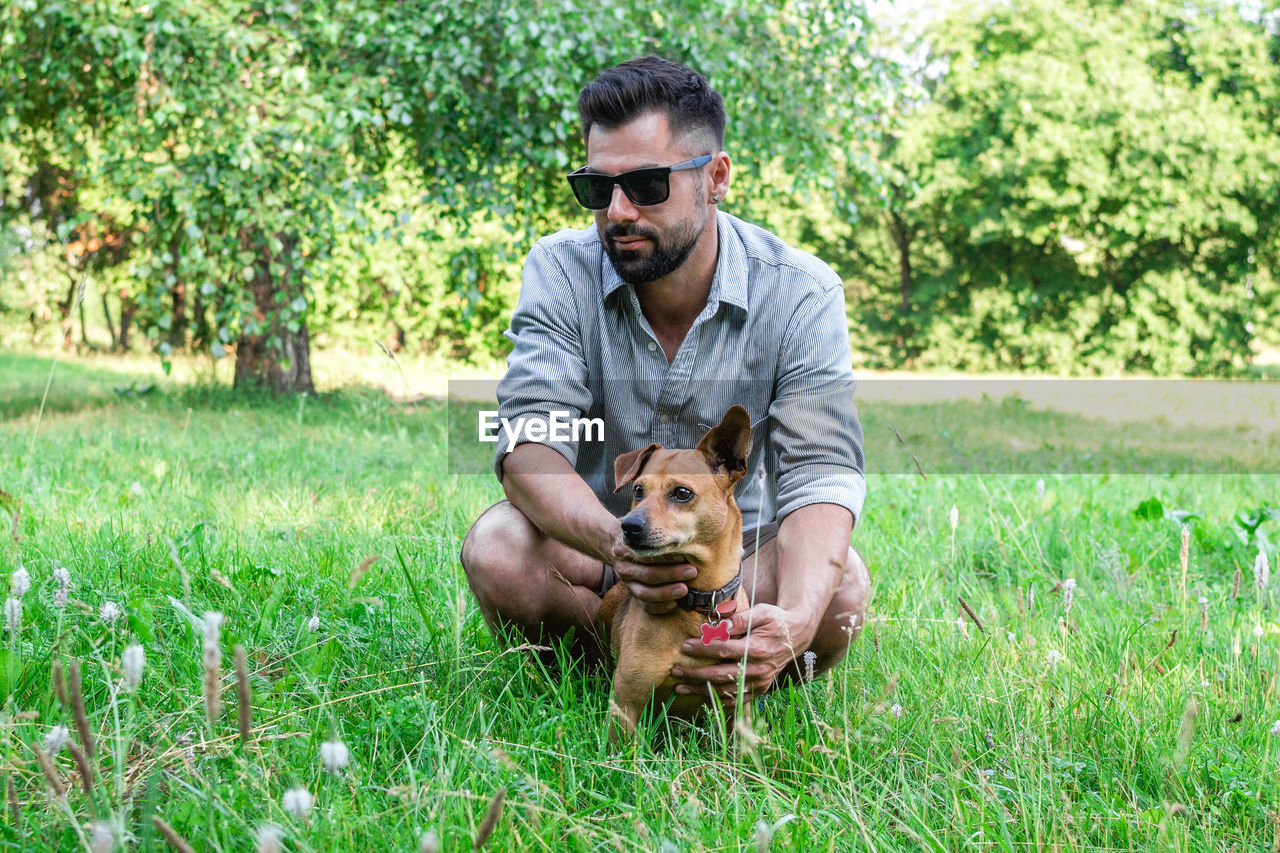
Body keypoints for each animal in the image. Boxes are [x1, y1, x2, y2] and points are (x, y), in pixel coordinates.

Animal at [596, 402, 747, 732]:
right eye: (638, 490)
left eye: (682, 493)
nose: (628, 527)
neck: (702, 602)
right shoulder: (626, 704)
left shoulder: (735, 703)